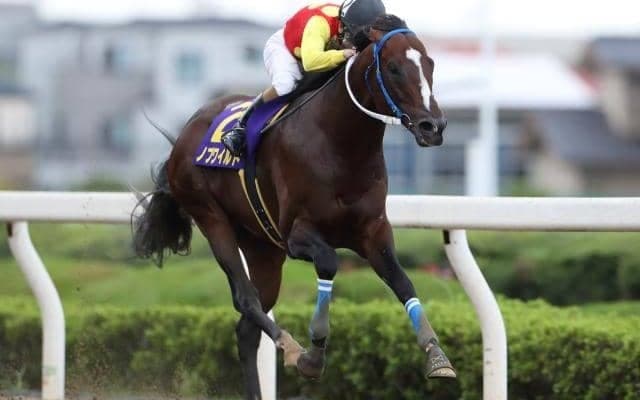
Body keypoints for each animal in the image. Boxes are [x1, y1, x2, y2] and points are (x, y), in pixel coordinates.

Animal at [133, 14, 455, 400]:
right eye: (393, 68)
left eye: (430, 64)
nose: (433, 126)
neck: (341, 145)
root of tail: (186, 132)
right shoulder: (297, 235)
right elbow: (329, 262)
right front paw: (313, 355)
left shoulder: (374, 232)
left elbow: (402, 281)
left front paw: (437, 355)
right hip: (211, 216)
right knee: (246, 299)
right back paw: (291, 347)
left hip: (262, 247)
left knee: (246, 329)